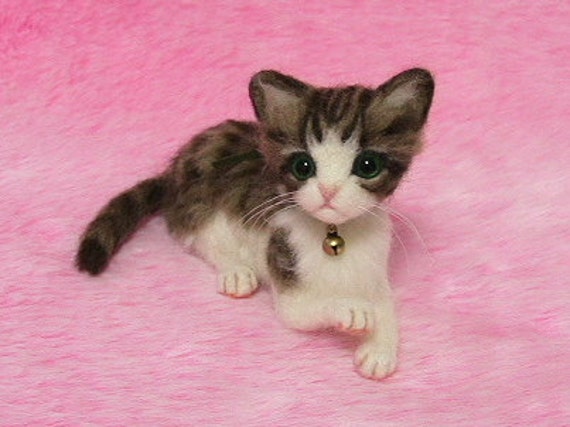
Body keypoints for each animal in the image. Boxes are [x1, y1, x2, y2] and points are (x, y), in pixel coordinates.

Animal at [74, 67, 430, 382]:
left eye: (368, 165)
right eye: (303, 166)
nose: (329, 191)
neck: (335, 237)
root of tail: (175, 169)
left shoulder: (373, 266)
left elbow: (386, 305)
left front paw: (380, 349)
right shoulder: (286, 269)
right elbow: (307, 307)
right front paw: (351, 310)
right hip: (200, 205)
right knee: (201, 237)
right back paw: (236, 271)